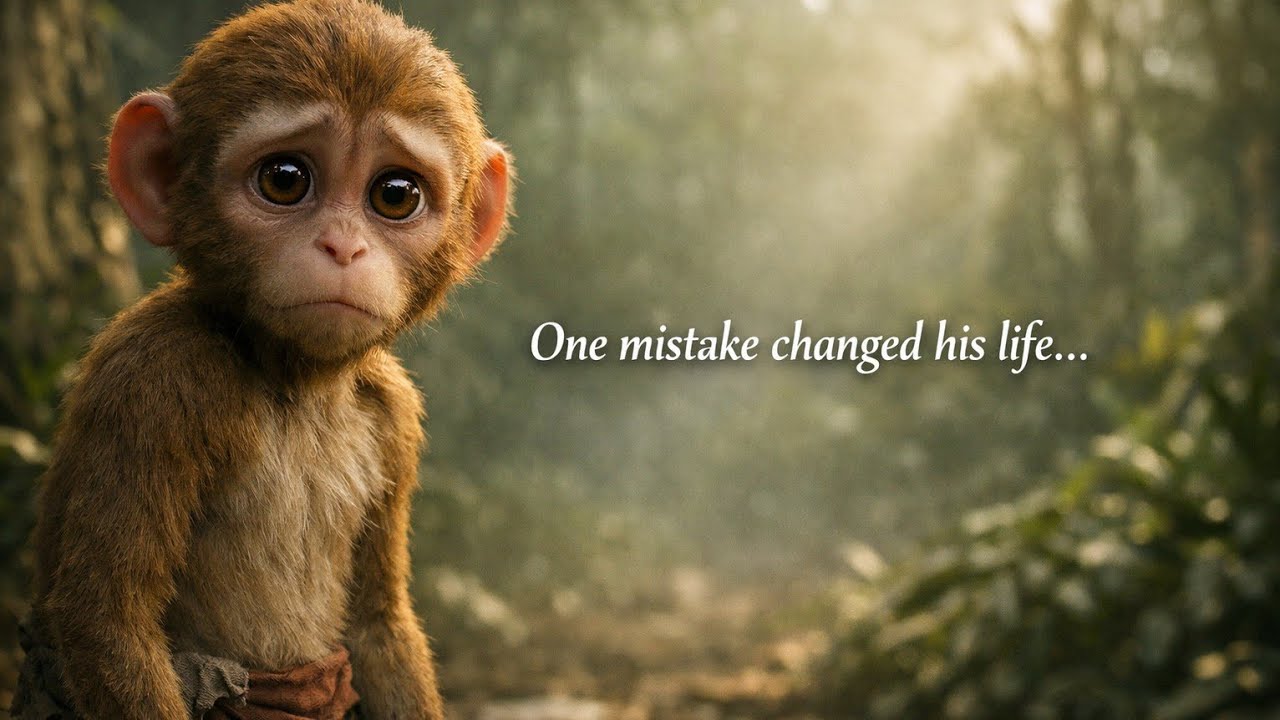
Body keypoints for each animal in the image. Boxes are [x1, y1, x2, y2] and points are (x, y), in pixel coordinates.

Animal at [12, 1, 512, 718]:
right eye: (285, 179)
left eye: (395, 194)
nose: (343, 247)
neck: (295, 380)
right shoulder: (155, 375)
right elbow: (108, 621)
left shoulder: (395, 415)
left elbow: (378, 624)